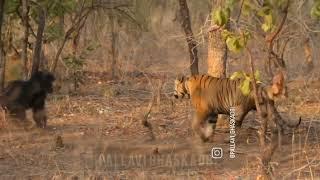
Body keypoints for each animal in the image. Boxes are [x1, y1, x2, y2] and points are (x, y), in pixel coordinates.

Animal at [174, 74, 302, 142]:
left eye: (174, 85)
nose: (174, 95)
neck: (187, 85)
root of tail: (260, 85)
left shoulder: (203, 110)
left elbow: (195, 124)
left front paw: (203, 138)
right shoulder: (213, 112)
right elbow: (211, 125)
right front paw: (208, 137)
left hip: (239, 109)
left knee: (237, 125)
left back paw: (229, 139)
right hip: (265, 106)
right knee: (274, 121)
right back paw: (276, 135)